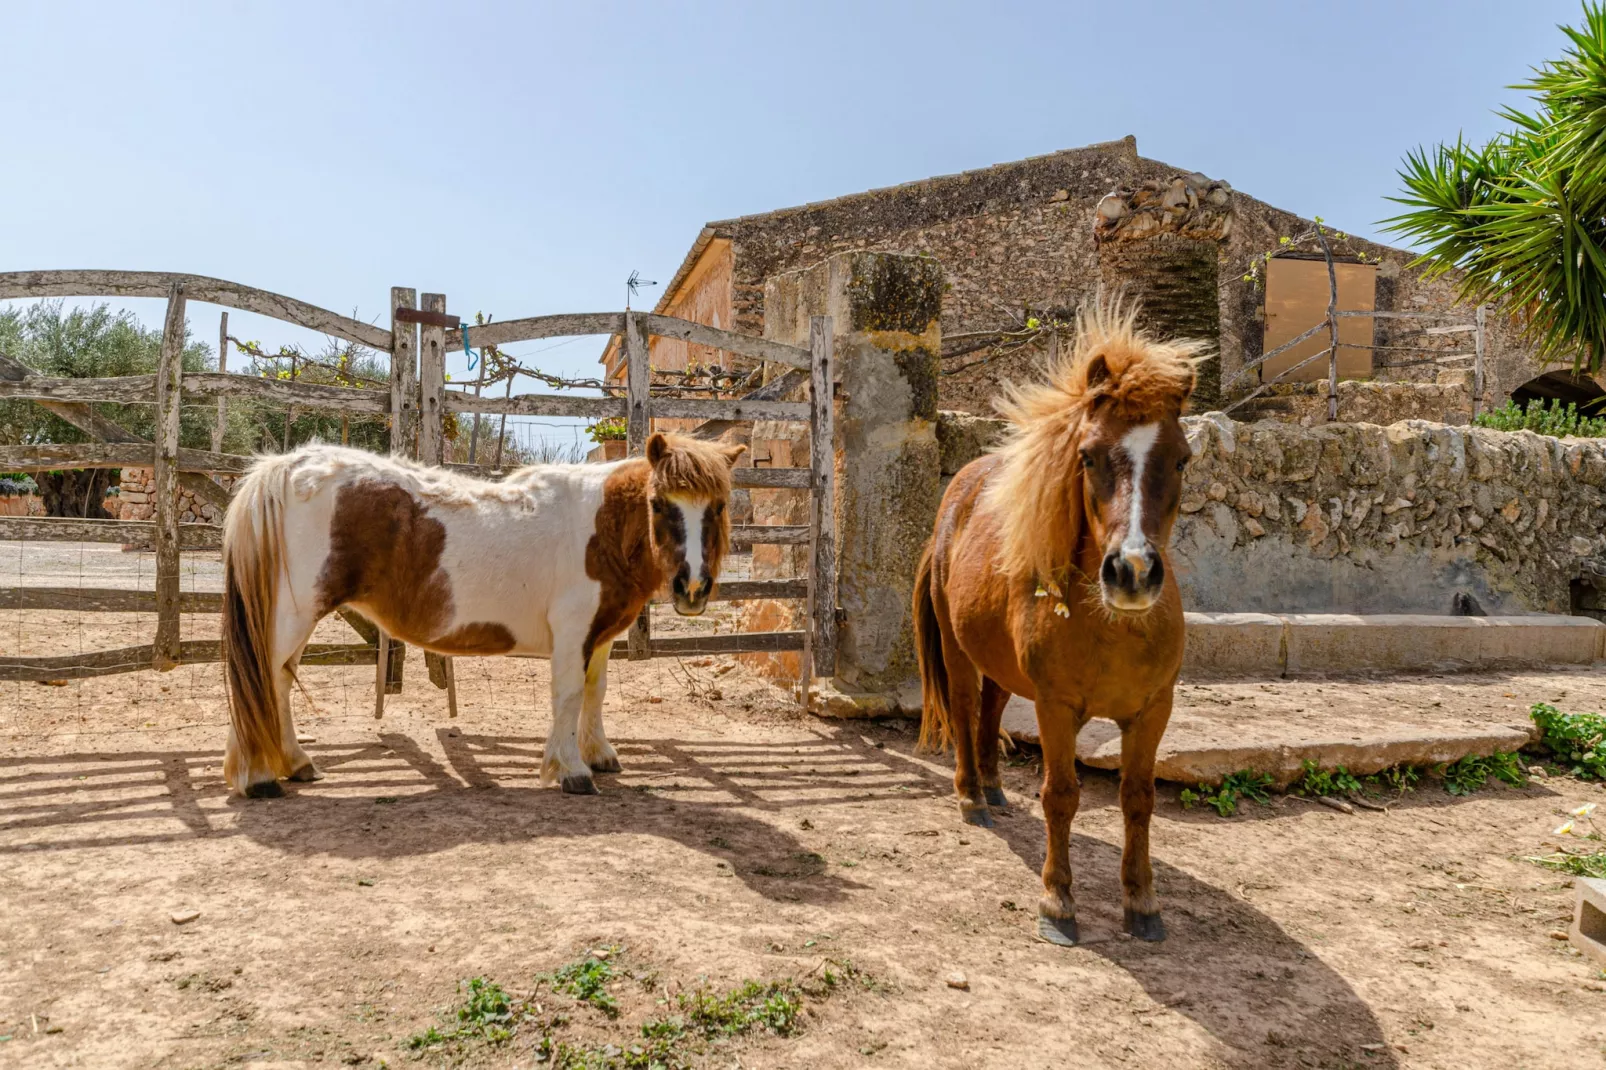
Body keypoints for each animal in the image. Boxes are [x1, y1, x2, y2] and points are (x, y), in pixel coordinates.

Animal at [221, 430, 745, 796]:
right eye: (659, 503)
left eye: (718, 507)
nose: (693, 587)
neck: (600, 527)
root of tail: (285, 468)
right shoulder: (573, 633)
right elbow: (569, 696)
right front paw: (571, 770)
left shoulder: (599, 636)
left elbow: (595, 694)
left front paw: (598, 754)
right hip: (291, 617)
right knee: (263, 679)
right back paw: (257, 777)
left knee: (278, 683)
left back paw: (294, 764)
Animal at [918, 302, 1207, 944]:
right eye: (1089, 455)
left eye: (1181, 458)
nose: (1132, 571)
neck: (1114, 629)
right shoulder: (1056, 707)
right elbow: (1061, 796)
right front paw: (1057, 902)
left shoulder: (1153, 710)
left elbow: (1138, 798)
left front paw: (1142, 903)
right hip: (957, 652)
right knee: (966, 710)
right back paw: (972, 796)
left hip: (1000, 664)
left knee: (992, 710)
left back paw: (994, 786)